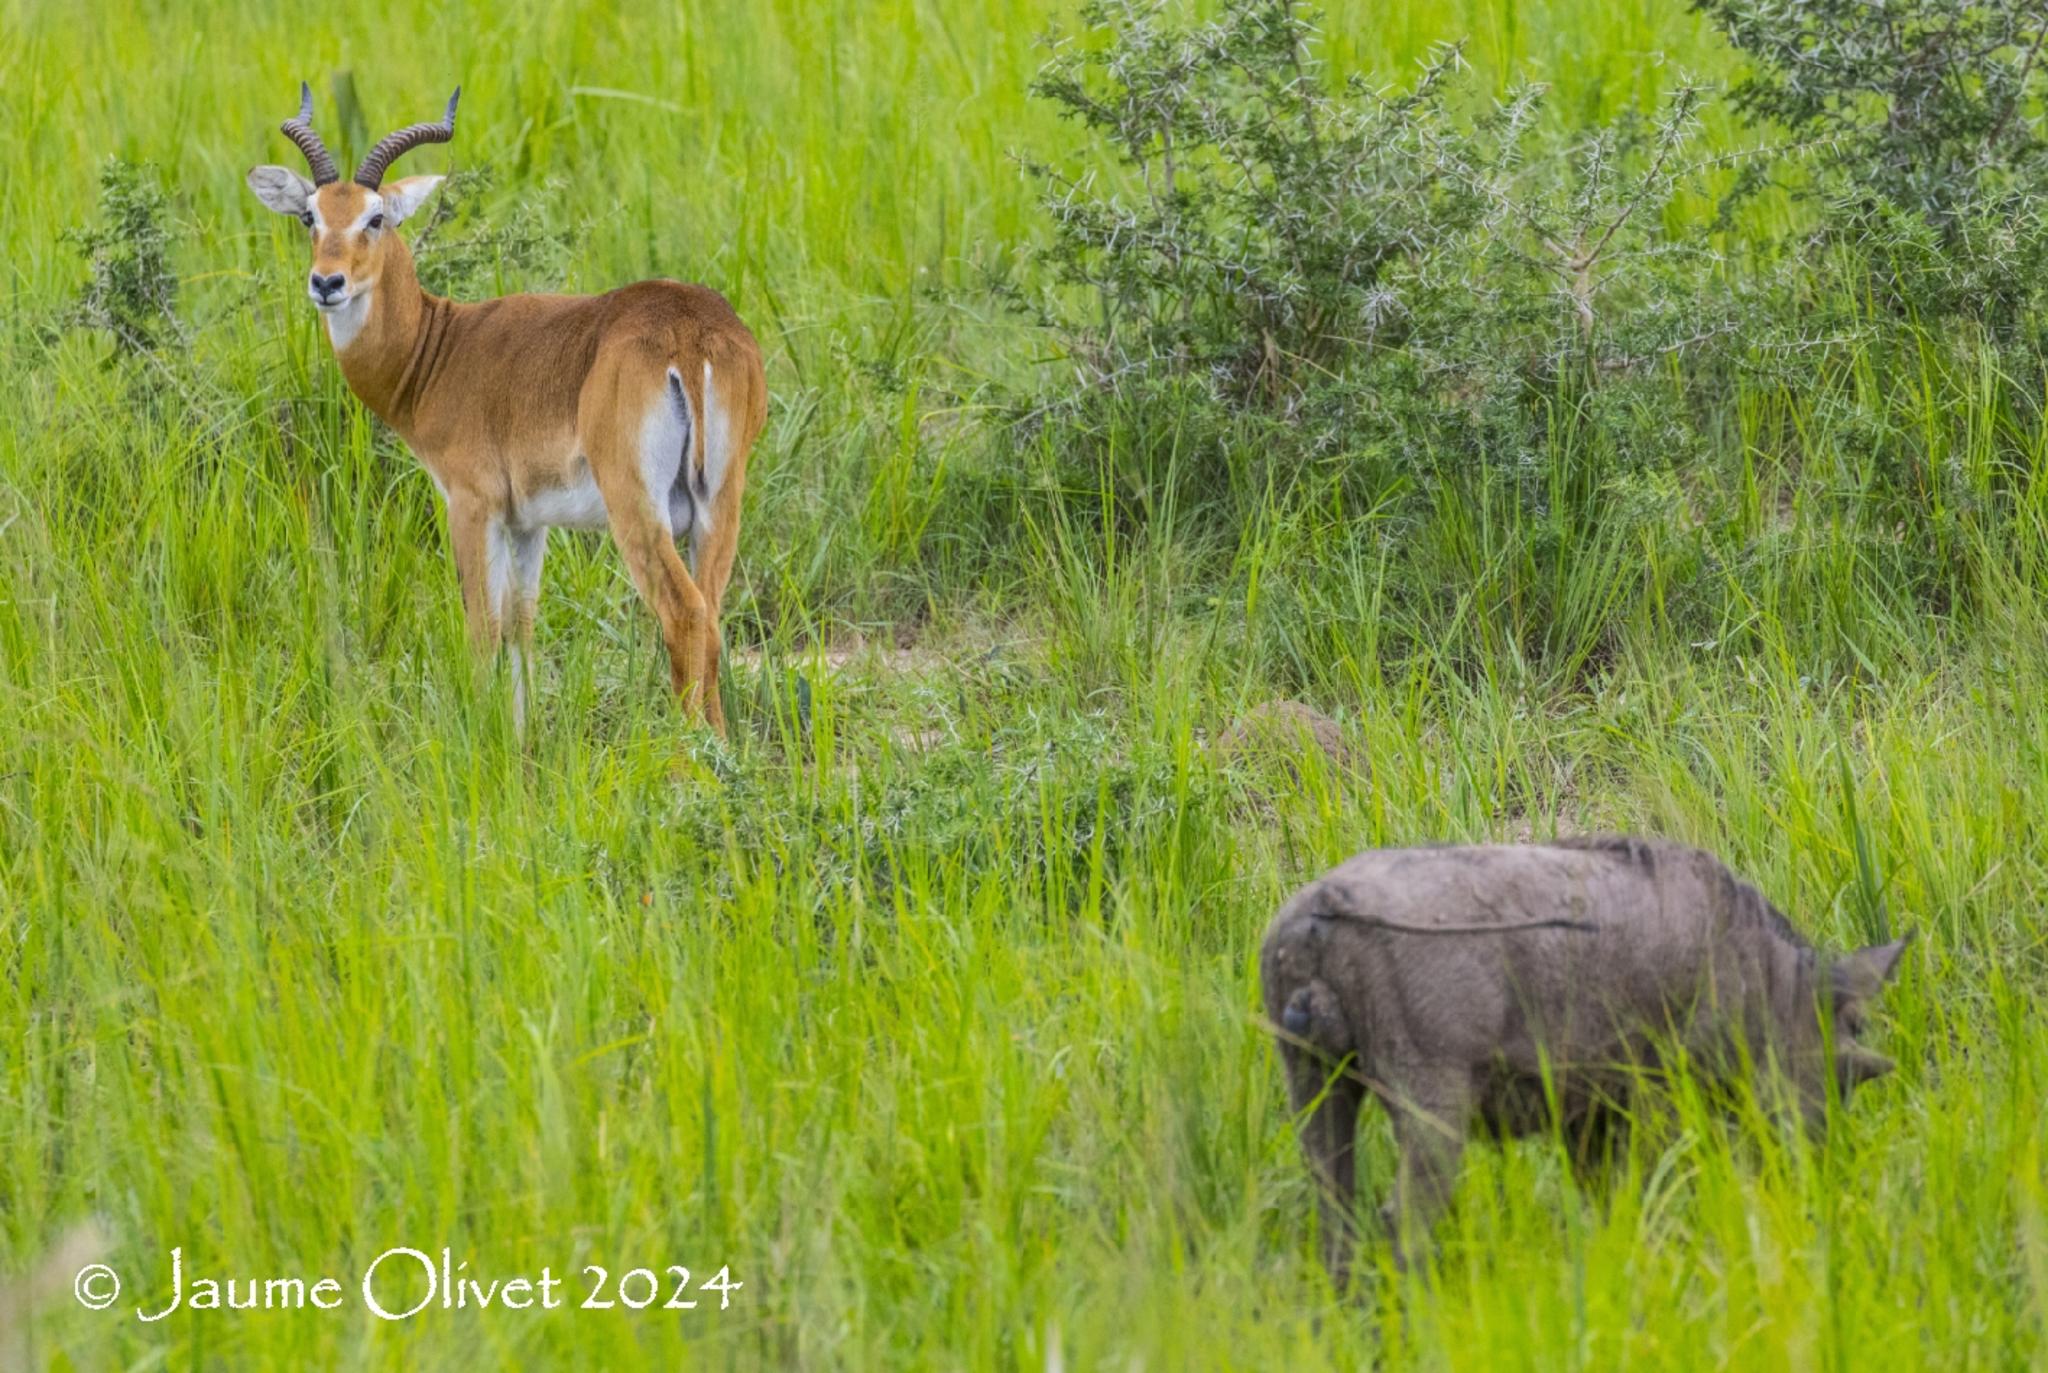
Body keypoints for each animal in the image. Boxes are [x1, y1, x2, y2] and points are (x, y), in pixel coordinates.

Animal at [247, 83, 770, 729]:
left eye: (375, 217)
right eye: (310, 216)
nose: (327, 283)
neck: (438, 350)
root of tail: (688, 334)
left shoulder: (472, 507)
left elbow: (482, 628)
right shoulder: (529, 523)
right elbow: (521, 626)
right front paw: (520, 739)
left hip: (637, 508)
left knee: (684, 613)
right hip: (720, 503)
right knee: (714, 618)